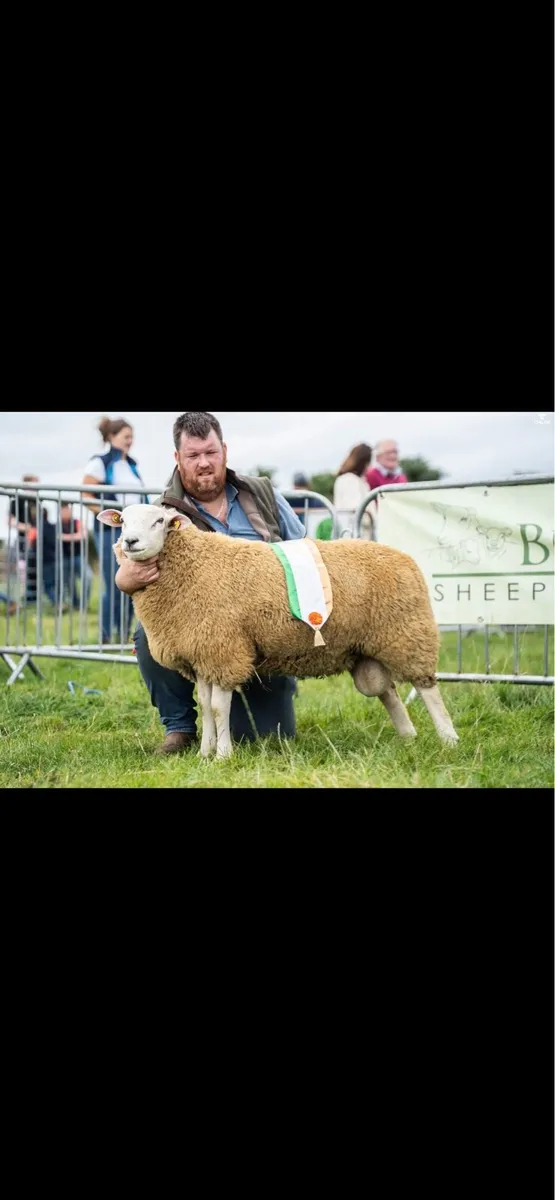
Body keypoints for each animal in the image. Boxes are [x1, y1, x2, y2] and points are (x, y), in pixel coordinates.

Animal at [98, 504, 459, 760]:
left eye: (159, 520)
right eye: (123, 521)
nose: (130, 542)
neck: (192, 566)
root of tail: (402, 556)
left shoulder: (225, 649)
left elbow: (217, 707)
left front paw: (223, 756)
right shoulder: (201, 652)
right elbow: (205, 703)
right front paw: (204, 752)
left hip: (407, 632)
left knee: (426, 687)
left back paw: (448, 739)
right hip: (367, 649)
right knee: (387, 691)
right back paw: (408, 737)